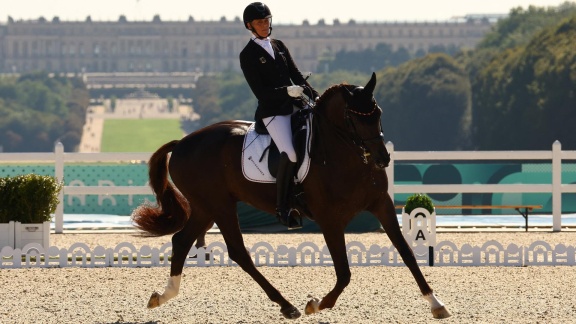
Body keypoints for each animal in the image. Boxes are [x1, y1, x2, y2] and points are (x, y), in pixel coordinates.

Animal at [130, 73, 450, 318]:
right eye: (354, 118)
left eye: (378, 113)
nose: (382, 159)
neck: (344, 153)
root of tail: (183, 142)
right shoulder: (329, 218)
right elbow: (344, 271)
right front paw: (318, 304)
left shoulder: (381, 205)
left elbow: (407, 253)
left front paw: (436, 303)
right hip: (219, 205)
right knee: (237, 252)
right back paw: (287, 305)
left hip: (206, 207)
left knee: (182, 240)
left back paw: (163, 295)